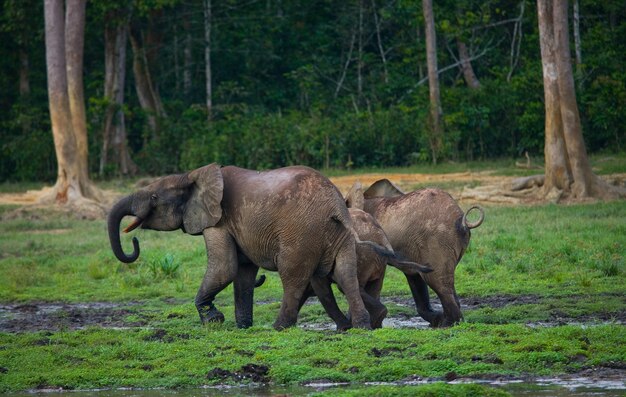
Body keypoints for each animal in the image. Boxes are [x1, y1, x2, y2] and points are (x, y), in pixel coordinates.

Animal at [107, 162, 378, 330]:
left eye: (154, 197)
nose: (134, 242)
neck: (192, 176)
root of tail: (336, 204)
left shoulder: (218, 220)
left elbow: (224, 267)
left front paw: (214, 320)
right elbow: (243, 273)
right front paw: (242, 326)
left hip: (301, 233)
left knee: (293, 276)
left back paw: (279, 327)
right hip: (338, 234)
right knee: (345, 273)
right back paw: (359, 327)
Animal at [294, 206, 432, 330]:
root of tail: (381, 235)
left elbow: (320, 287)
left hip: (362, 255)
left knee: (347, 285)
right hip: (376, 260)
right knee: (373, 286)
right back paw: (376, 322)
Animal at [344, 179, 486, 324]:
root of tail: (462, 221)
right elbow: (414, 276)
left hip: (437, 241)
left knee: (438, 281)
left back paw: (448, 323)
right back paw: (442, 321)